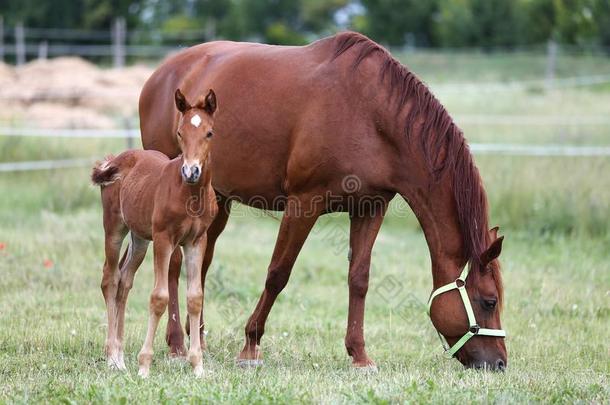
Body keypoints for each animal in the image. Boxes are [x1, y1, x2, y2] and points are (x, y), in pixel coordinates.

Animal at [92, 88, 218, 376]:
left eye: (209, 133)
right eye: (180, 132)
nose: (191, 171)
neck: (189, 194)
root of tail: (115, 160)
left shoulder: (197, 241)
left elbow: (195, 298)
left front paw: (198, 366)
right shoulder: (164, 239)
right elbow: (159, 297)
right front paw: (144, 366)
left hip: (140, 238)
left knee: (125, 280)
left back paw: (120, 357)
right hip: (114, 228)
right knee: (110, 279)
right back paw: (112, 357)